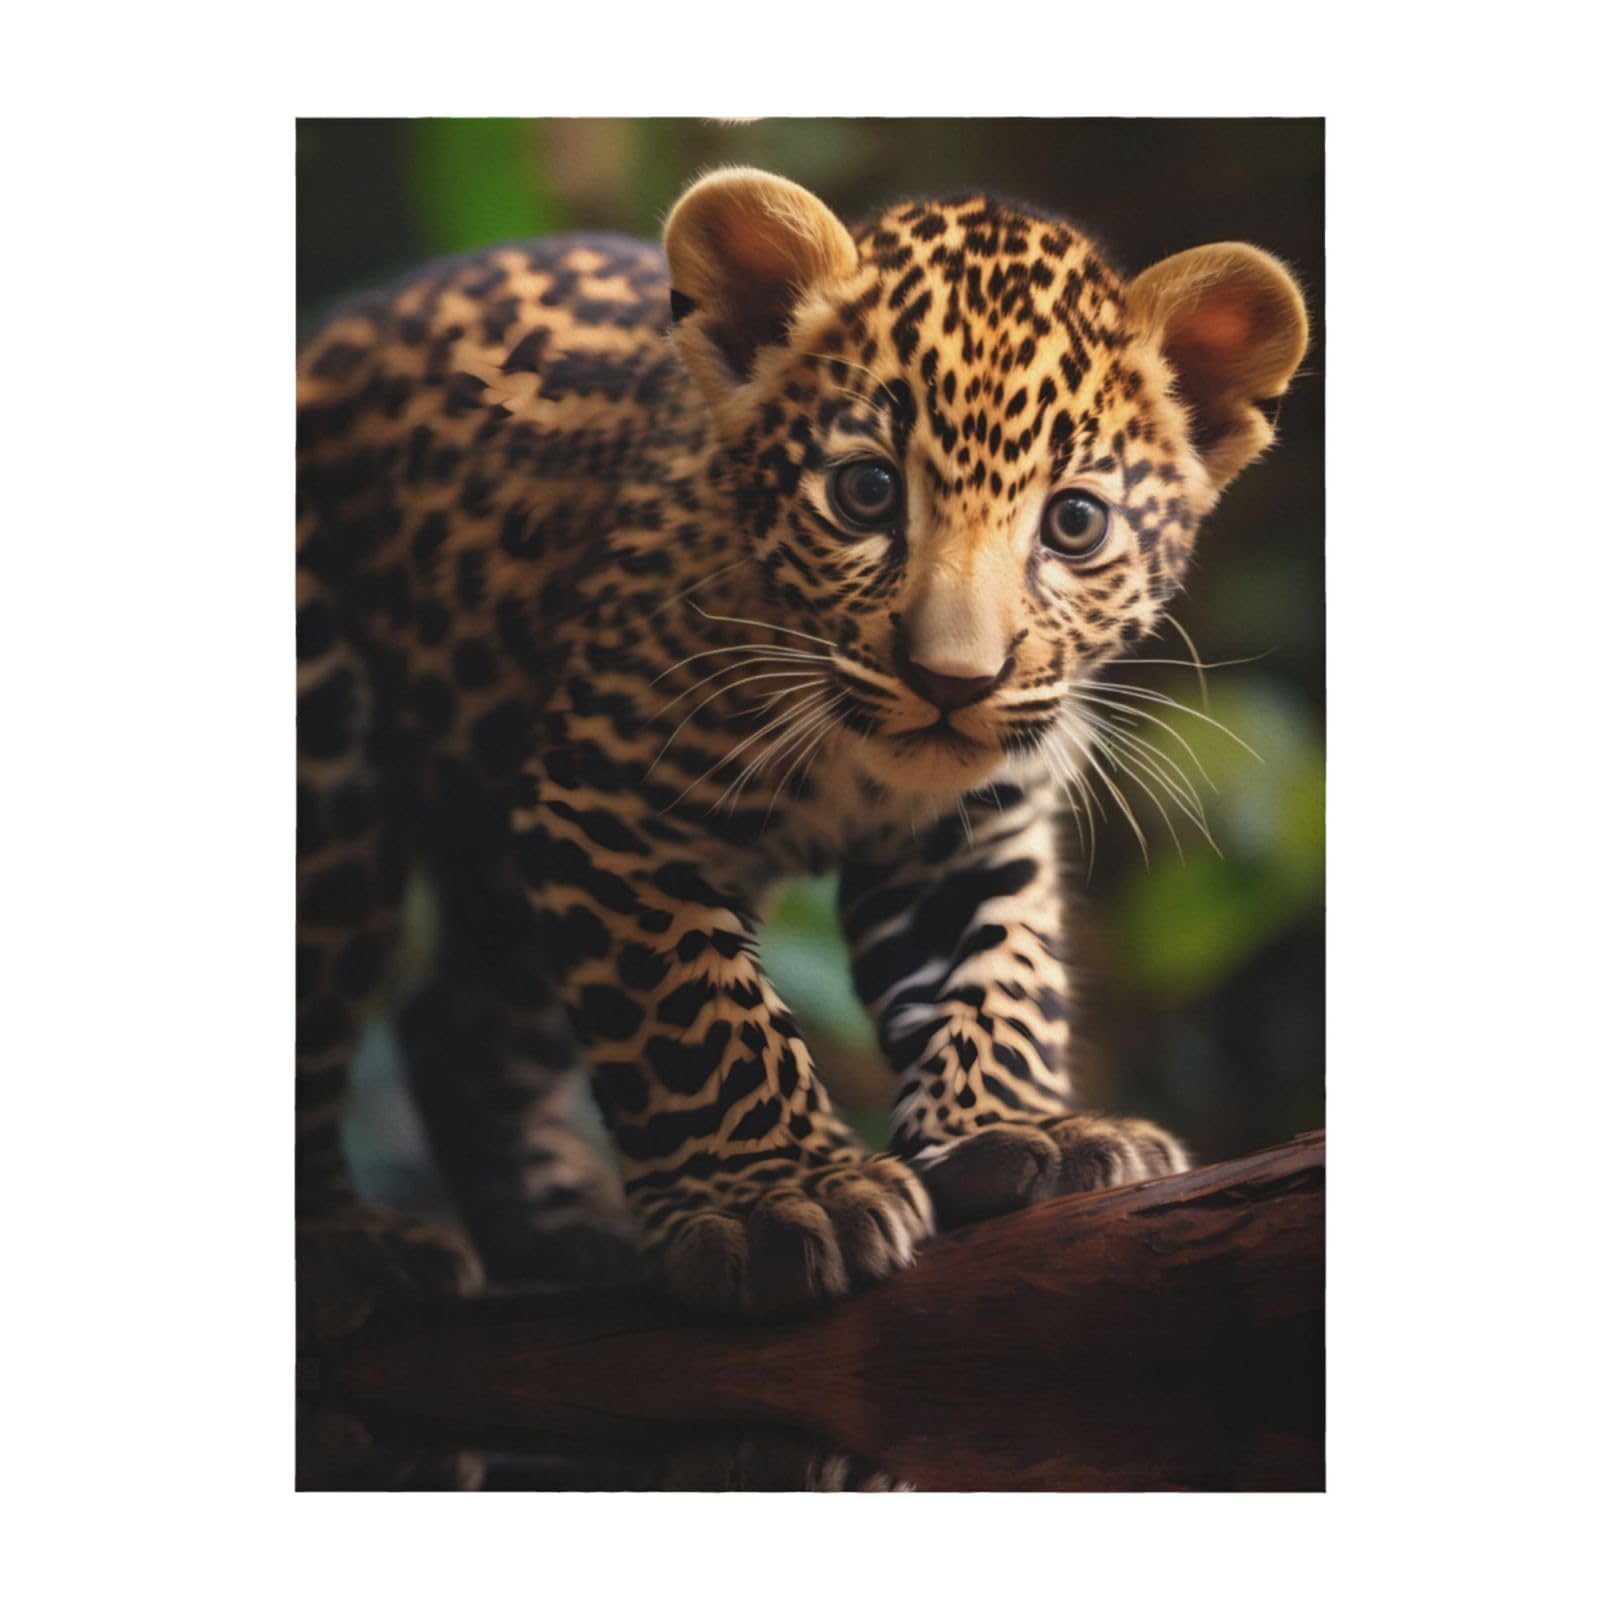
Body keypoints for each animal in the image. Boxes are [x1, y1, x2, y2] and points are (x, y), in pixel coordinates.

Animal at [296, 166, 1309, 1323]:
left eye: (1075, 523)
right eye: (866, 492)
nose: (953, 681)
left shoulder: (965, 828)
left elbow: (999, 969)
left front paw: (1017, 1129)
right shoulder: (608, 799)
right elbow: (691, 1007)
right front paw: (778, 1199)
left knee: (453, 1024)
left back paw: (560, 1232)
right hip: (328, 765)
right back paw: (351, 1246)